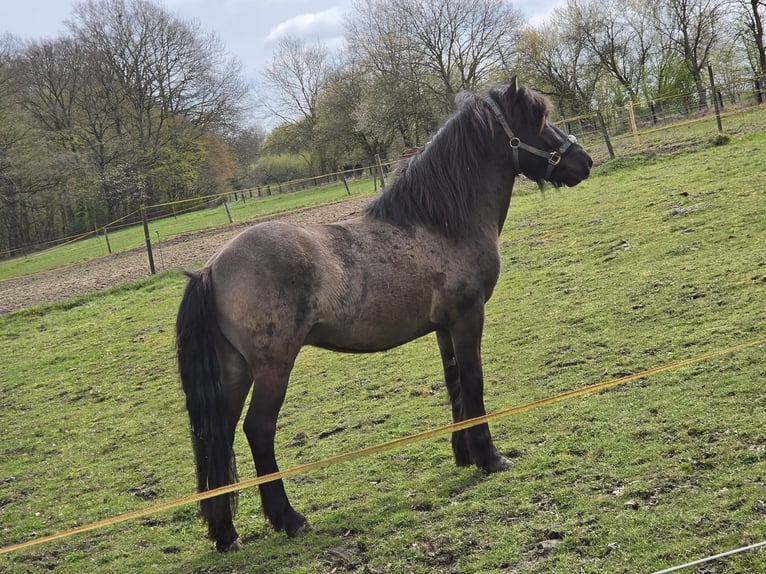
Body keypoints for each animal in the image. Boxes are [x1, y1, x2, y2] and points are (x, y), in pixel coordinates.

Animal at [175, 76, 593, 552]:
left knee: (219, 436)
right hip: (272, 366)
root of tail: (210, 268)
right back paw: (290, 519)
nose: (584, 161)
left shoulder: (444, 327)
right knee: (258, 431)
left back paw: (226, 533)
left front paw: (464, 454)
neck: (441, 223)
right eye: (537, 120)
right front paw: (490, 457)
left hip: (235, 370)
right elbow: (474, 383)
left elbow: (454, 386)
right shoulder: (468, 317)